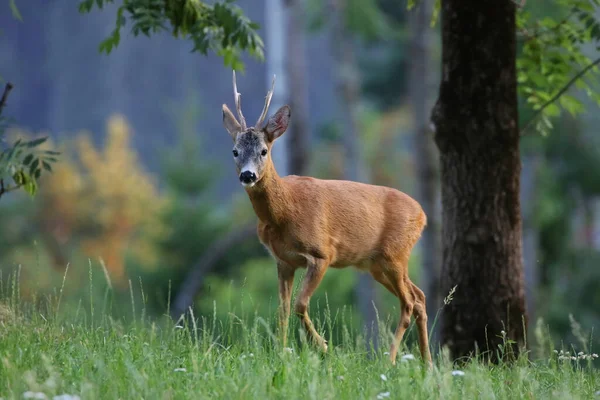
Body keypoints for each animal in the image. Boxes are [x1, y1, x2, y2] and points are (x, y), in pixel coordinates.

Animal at [220, 69, 432, 366]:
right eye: (235, 151)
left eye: (264, 151)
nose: (248, 175)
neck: (282, 214)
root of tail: (423, 215)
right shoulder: (283, 260)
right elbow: (283, 310)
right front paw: (281, 353)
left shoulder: (322, 253)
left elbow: (300, 304)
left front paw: (323, 346)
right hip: (377, 264)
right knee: (420, 296)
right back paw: (428, 365)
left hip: (395, 254)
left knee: (409, 301)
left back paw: (389, 359)